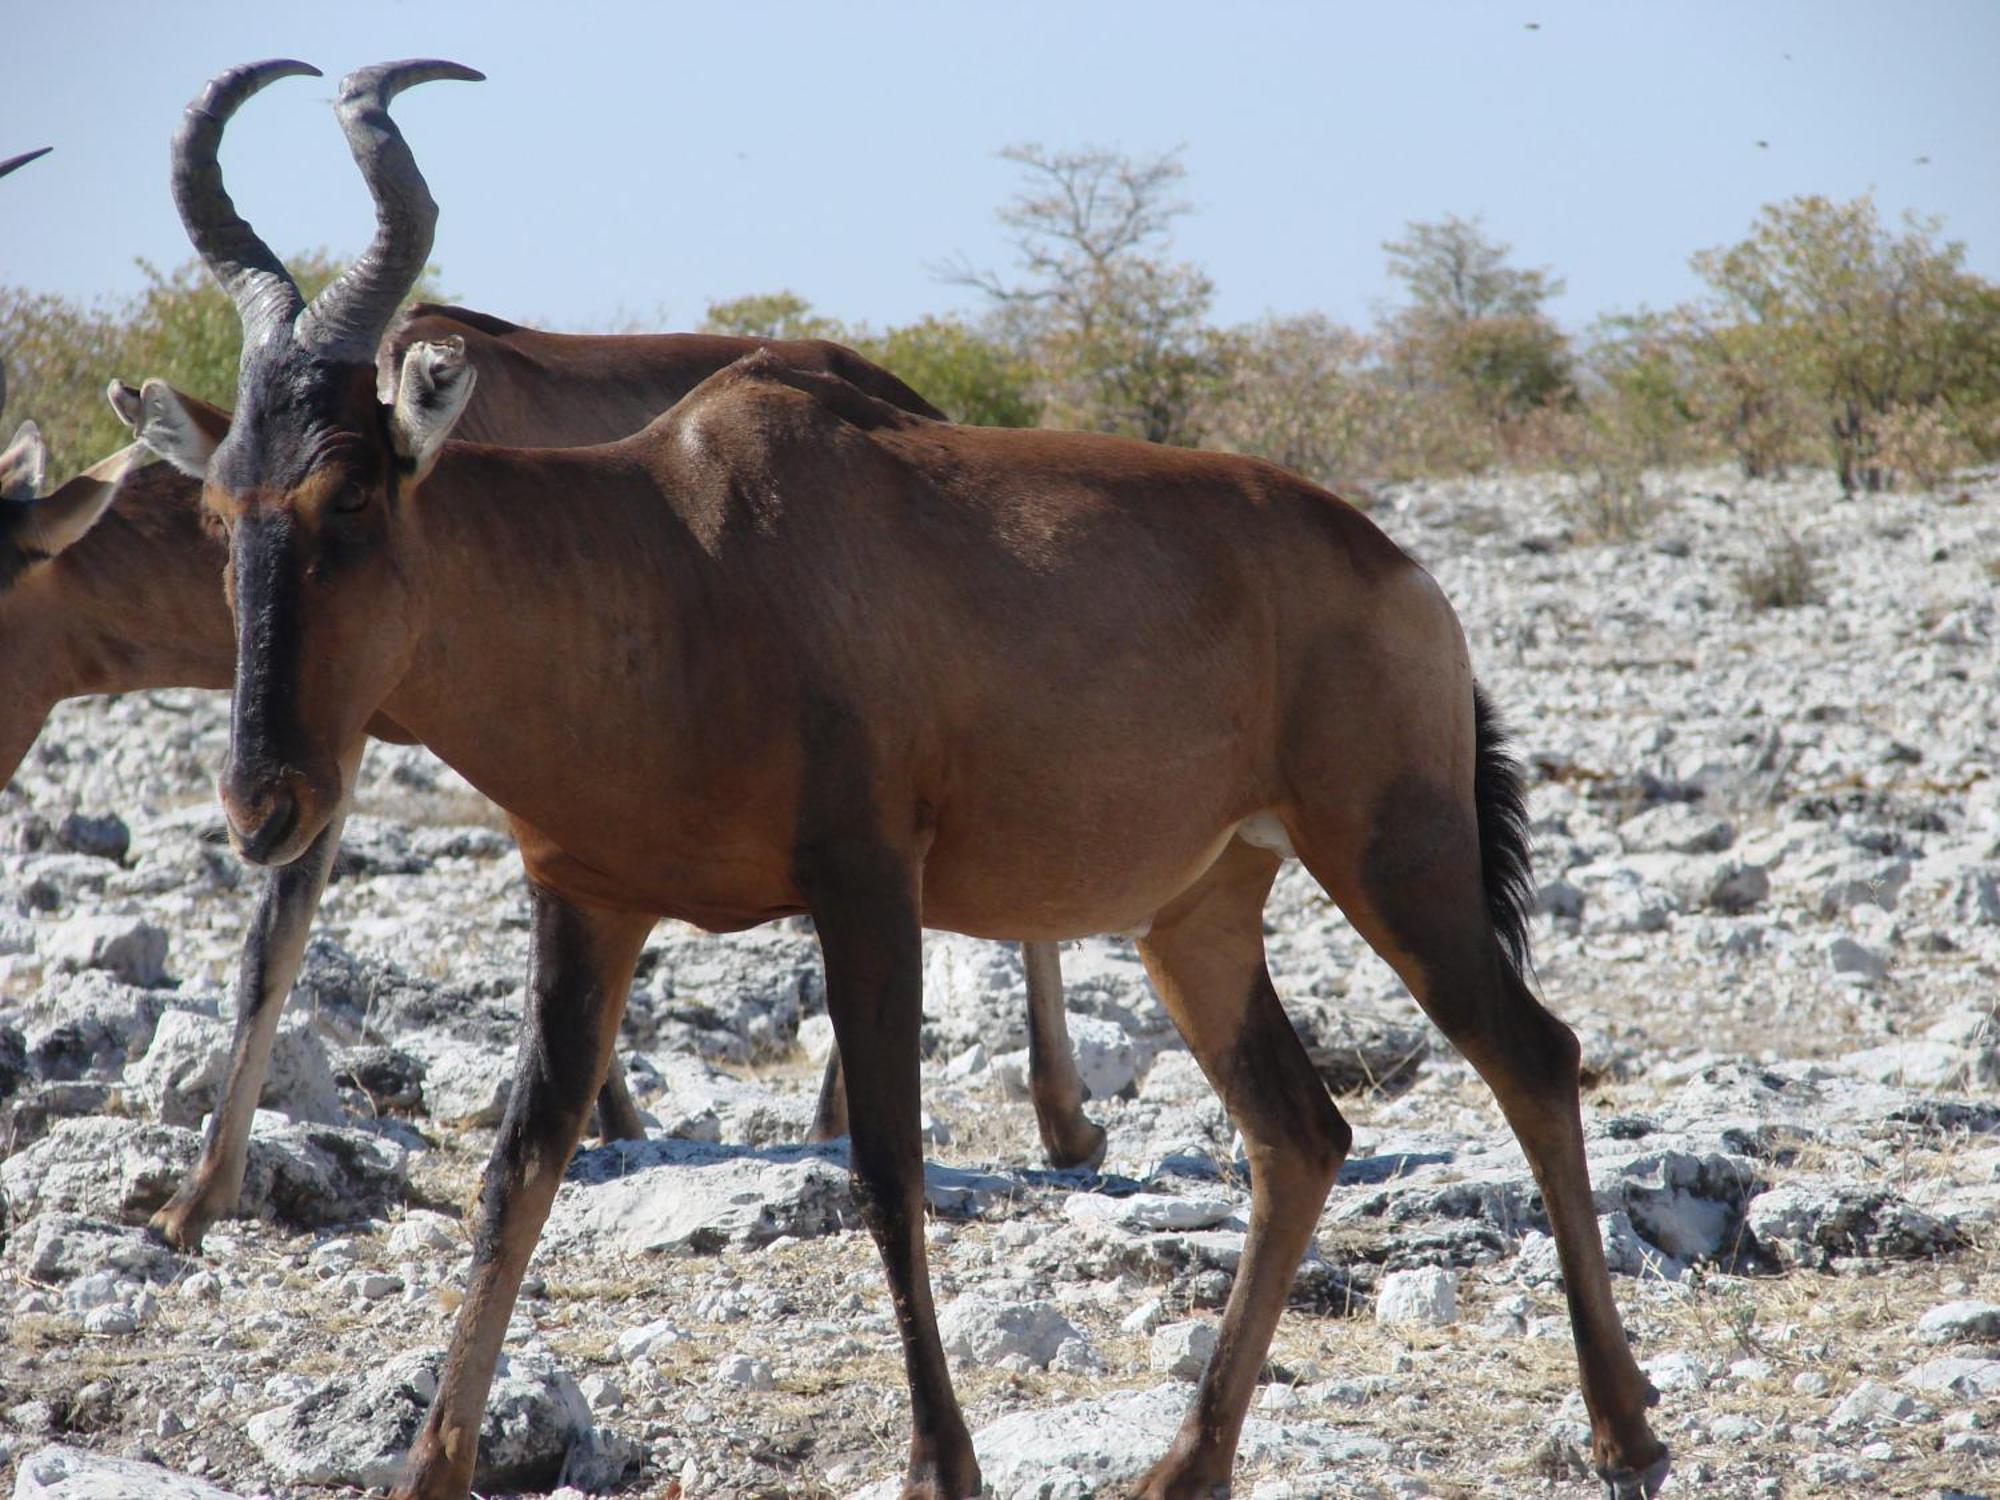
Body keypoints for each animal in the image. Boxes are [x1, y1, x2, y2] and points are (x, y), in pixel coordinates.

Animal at [168, 53, 1672, 1500]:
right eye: (219, 508)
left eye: (352, 493)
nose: (263, 804)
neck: (684, 547)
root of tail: (1397, 567)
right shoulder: (583, 903)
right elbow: (518, 1165)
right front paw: (429, 1464)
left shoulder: (868, 888)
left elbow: (888, 1164)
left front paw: (942, 1462)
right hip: (1198, 915)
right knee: (1299, 1134)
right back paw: (1184, 1463)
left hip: (1392, 859)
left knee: (1533, 1057)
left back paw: (1623, 1432)